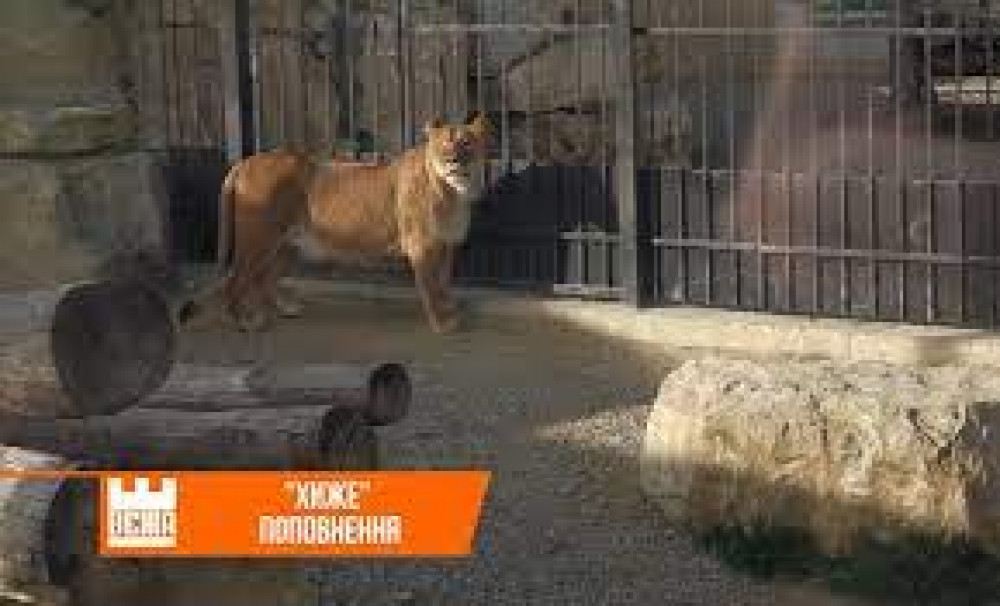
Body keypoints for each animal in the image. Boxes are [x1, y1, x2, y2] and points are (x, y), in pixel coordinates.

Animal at [178, 113, 492, 334]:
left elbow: (444, 283)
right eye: (443, 145)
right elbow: (431, 287)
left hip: (288, 245)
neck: (455, 191)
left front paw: (450, 310)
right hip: (258, 239)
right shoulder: (423, 247)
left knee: (263, 278)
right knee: (236, 280)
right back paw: (246, 322)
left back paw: (286, 309)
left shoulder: (446, 246)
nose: (453, 160)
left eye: (466, 143)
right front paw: (442, 323)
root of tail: (244, 162)